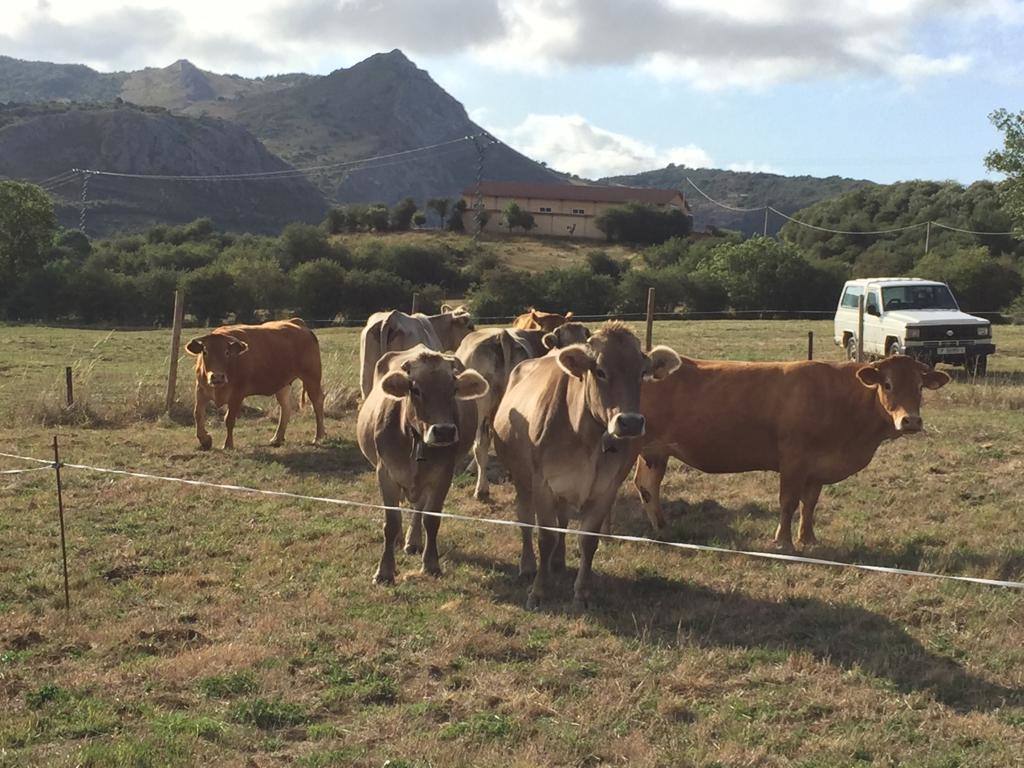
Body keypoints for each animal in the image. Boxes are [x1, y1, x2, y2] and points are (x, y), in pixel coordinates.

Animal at [185, 317, 323, 450]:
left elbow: (229, 419)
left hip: (312, 378)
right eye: (205, 352)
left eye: (227, 352)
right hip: (283, 384)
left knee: (317, 403)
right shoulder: (201, 391)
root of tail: (298, 323)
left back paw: (319, 437)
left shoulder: (237, 394)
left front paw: (228, 444)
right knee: (286, 408)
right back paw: (277, 438)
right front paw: (205, 440)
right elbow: (197, 414)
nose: (217, 376)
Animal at [358, 348, 489, 581]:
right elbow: (391, 522)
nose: (444, 431)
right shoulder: (385, 473)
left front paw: (431, 563)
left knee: (418, 508)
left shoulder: (442, 476)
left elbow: (431, 519)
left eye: (453, 389)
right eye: (416, 389)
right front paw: (384, 571)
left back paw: (413, 541)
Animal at [493, 321, 679, 610]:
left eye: (642, 372)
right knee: (524, 519)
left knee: (562, 520)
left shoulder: (606, 488)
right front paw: (538, 591)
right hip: (522, 478)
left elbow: (588, 540)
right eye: (600, 370)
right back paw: (528, 565)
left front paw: (581, 593)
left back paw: (558, 561)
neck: (587, 440)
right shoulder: (542, 483)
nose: (630, 422)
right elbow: (545, 536)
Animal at [630, 354, 950, 552]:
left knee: (647, 485)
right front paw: (783, 542)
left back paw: (663, 530)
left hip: (655, 451)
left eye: (920, 386)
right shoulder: (794, 459)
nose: (911, 421)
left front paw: (809, 539)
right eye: (887, 384)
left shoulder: (818, 468)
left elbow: (809, 505)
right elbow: (788, 502)